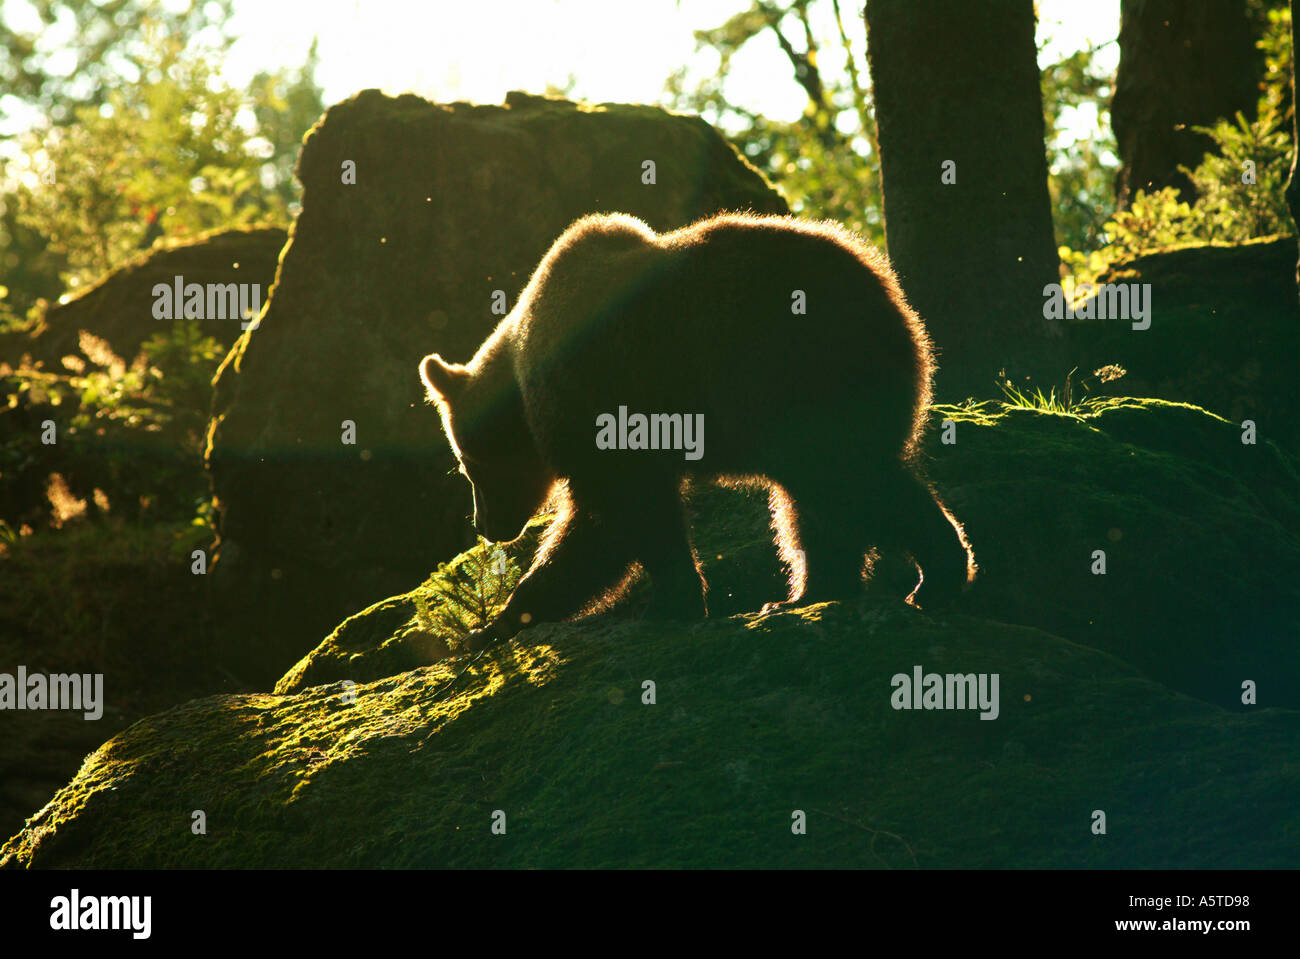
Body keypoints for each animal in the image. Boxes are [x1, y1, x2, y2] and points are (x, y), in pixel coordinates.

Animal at [419, 212, 975, 651]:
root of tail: (890, 292)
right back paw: (810, 593)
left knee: (847, 482)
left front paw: (500, 622)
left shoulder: (598, 399)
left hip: (797, 372)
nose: (485, 524)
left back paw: (933, 579)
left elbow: (611, 515)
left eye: (469, 466)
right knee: (813, 502)